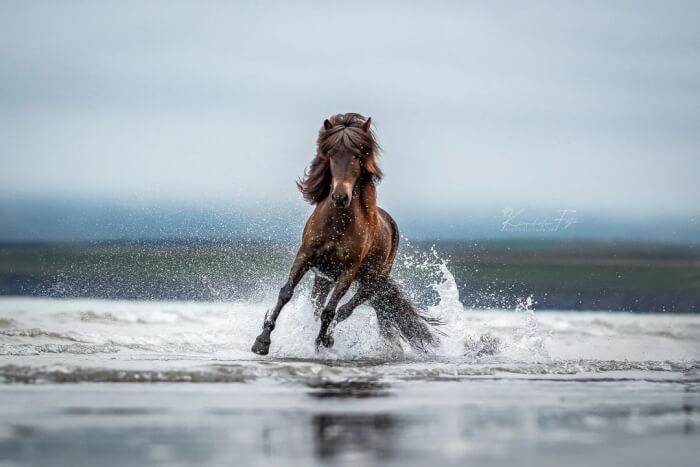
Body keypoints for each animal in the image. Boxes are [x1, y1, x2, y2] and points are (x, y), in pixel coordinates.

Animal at [252, 112, 440, 354]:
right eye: (331, 154)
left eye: (358, 155)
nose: (340, 197)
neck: (337, 224)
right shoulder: (305, 256)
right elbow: (286, 293)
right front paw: (262, 341)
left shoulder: (348, 271)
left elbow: (330, 311)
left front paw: (320, 344)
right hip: (324, 279)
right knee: (320, 306)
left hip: (372, 281)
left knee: (344, 310)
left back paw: (329, 338)